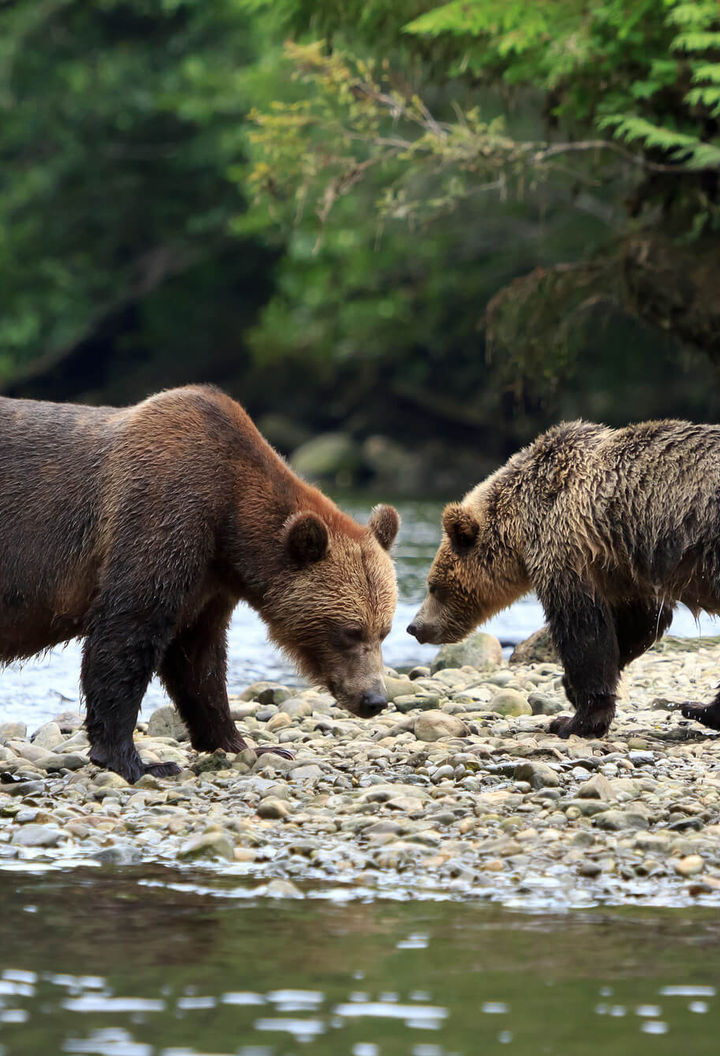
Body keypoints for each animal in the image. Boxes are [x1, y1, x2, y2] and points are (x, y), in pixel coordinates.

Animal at [0, 384, 399, 781]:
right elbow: (127, 631)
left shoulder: (208, 584)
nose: (374, 699)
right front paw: (135, 760)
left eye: (384, 631)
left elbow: (199, 660)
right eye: (350, 631)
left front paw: (247, 744)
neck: (231, 521)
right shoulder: (161, 512)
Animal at [409, 416, 720, 739]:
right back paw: (703, 709)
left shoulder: (565, 545)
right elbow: (639, 622)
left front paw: (575, 720)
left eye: (433, 587)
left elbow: (582, 628)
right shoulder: (620, 566)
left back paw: (699, 709)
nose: (414, 626)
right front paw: (571, 690)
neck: (520, 526)